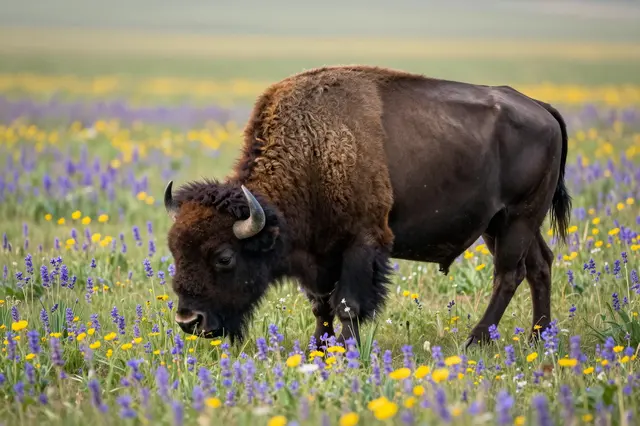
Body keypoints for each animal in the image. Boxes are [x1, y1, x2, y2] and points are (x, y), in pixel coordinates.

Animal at [164, 65, 571, 349]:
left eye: (224, 258)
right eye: (175, 251)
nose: (188, 320)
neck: (313, 149)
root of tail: (542, 109)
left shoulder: (362, 244)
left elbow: (348, 304)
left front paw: (346, 349)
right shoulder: (320, 256)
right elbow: (321, 305)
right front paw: (320, 348)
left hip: (518, 218)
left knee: (509, 274)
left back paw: (477, 340)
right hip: (499, 224)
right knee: (540, 265)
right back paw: (539, 339)